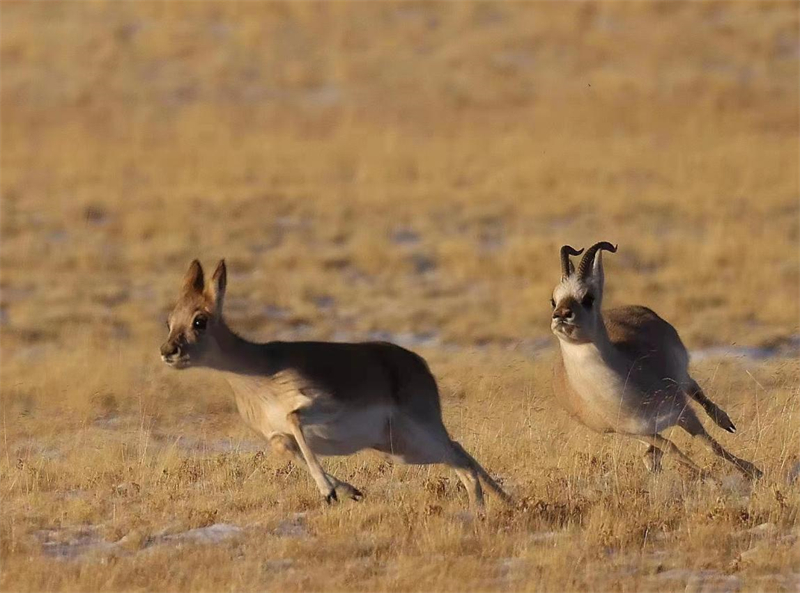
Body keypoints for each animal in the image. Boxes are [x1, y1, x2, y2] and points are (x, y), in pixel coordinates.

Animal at [159, 256, 510, 512]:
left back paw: (484, 511)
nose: (167, 351)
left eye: (200, 320)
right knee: (459, 452)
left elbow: (293, 418)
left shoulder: (320, 406)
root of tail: (417, 363)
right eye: (169, 320)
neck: (258, 375)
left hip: (418, 434)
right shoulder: (275, 435)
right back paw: (506, 503)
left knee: (461, 458)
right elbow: (284, 444)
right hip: (401, 448)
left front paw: (329, 490)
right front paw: (347, 490)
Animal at [552, 239, 764, 476]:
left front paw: (753, 471)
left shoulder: (682, 412)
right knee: (652, 453)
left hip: (683, 379)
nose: (561, 315)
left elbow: (711, 445)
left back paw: (726, 423)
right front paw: (708, 476)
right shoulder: (637, 431)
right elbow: (673, 449)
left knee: (698, 393)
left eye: (588, 297)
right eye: (553, 300)